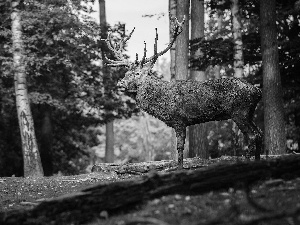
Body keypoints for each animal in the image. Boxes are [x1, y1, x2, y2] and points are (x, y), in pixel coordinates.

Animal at [102, 13, 262, 169]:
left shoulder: (179, 120)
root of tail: (258, 92)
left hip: (239, 111)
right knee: (259, 134)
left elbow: (180, 148)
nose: (120, 83)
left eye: (137, 73)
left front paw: (179, 168)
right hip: (249, 113)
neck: (162, 103)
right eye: (126, 73)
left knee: (252, 136)